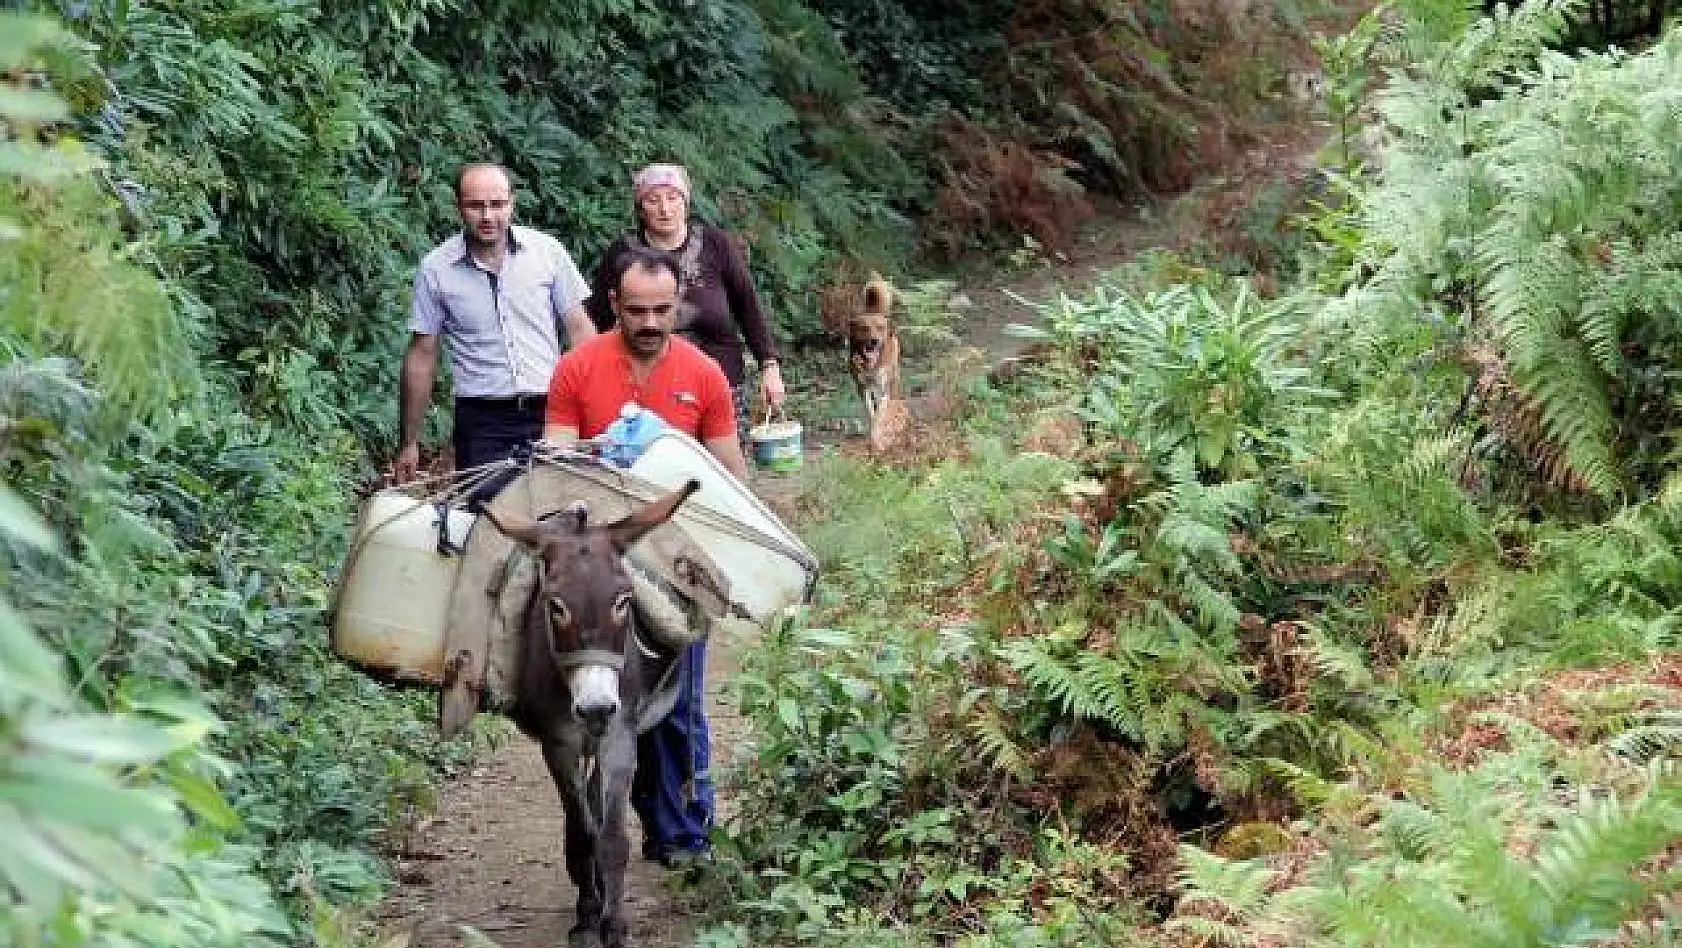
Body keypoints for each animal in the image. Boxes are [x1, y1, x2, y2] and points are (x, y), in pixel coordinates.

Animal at [847, 273, 901, 430]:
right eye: (864, 328)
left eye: (880, 328)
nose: (874, 341)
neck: (871, 364)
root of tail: (874, 311)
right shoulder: (862, 386)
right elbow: (870, 412)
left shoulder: (883, 387)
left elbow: (879, 412)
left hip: (893, 376)